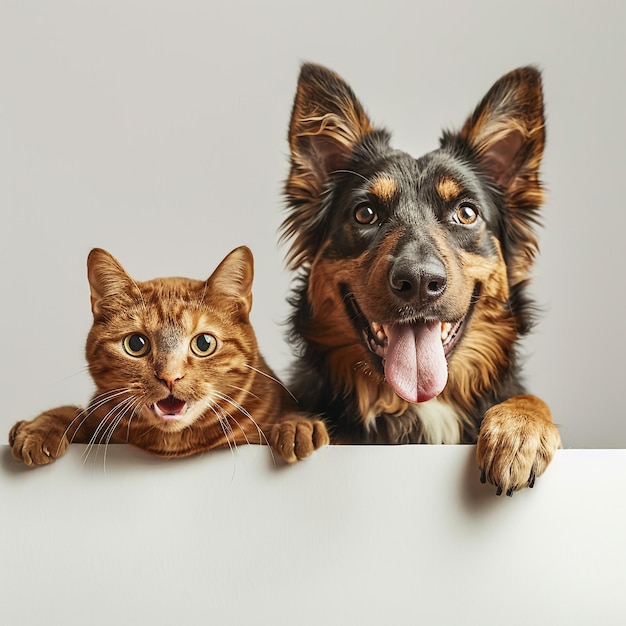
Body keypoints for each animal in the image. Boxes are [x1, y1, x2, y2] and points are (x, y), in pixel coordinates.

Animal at [9, 244, 326, 464]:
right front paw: (37, 428)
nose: (170, 377)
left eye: (204, 344)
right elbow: (71, 412)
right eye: (136, 344)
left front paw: (297, 426)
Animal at [280, 62, 560, 492]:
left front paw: (519, 428)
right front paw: (297, 424)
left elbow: (531, 399)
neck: (417, 405)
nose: (418, 283)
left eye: (466, 212)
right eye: (365, 213)